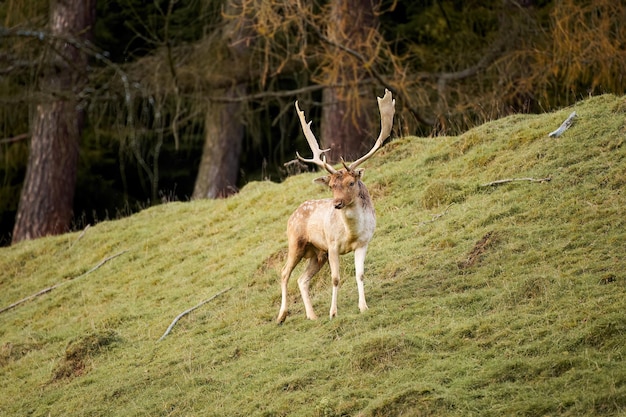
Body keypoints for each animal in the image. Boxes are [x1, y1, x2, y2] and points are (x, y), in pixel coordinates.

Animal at [276, 88, 394, 322]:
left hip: (316, 254)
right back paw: (282, 316)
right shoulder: (332, 245)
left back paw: (312, 315)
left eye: (351, 182)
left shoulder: (364, 242)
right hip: (296, 242)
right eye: (331, 185)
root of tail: (292, 215)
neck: (351, 234)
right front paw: (333, 312)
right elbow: (336, 278)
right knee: (285, 273)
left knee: (302, 279)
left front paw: (363, 307)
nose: (337, 203)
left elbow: (360, 274)